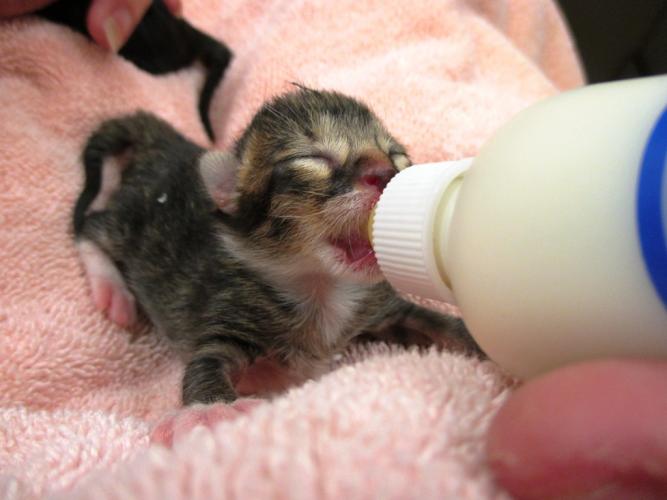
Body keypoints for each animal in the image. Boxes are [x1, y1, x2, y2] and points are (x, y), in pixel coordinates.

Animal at [73, 87, 482, 406]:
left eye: (396, 155)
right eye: (313, 158)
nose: (385, 173)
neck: (322, 289)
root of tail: (166, 146)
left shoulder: (382, 308)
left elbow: (440, 323)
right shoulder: (228, 319)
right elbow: (206, 369)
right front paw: (215, 416)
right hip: (134, 223)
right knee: (89, 226)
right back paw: (112, 290)